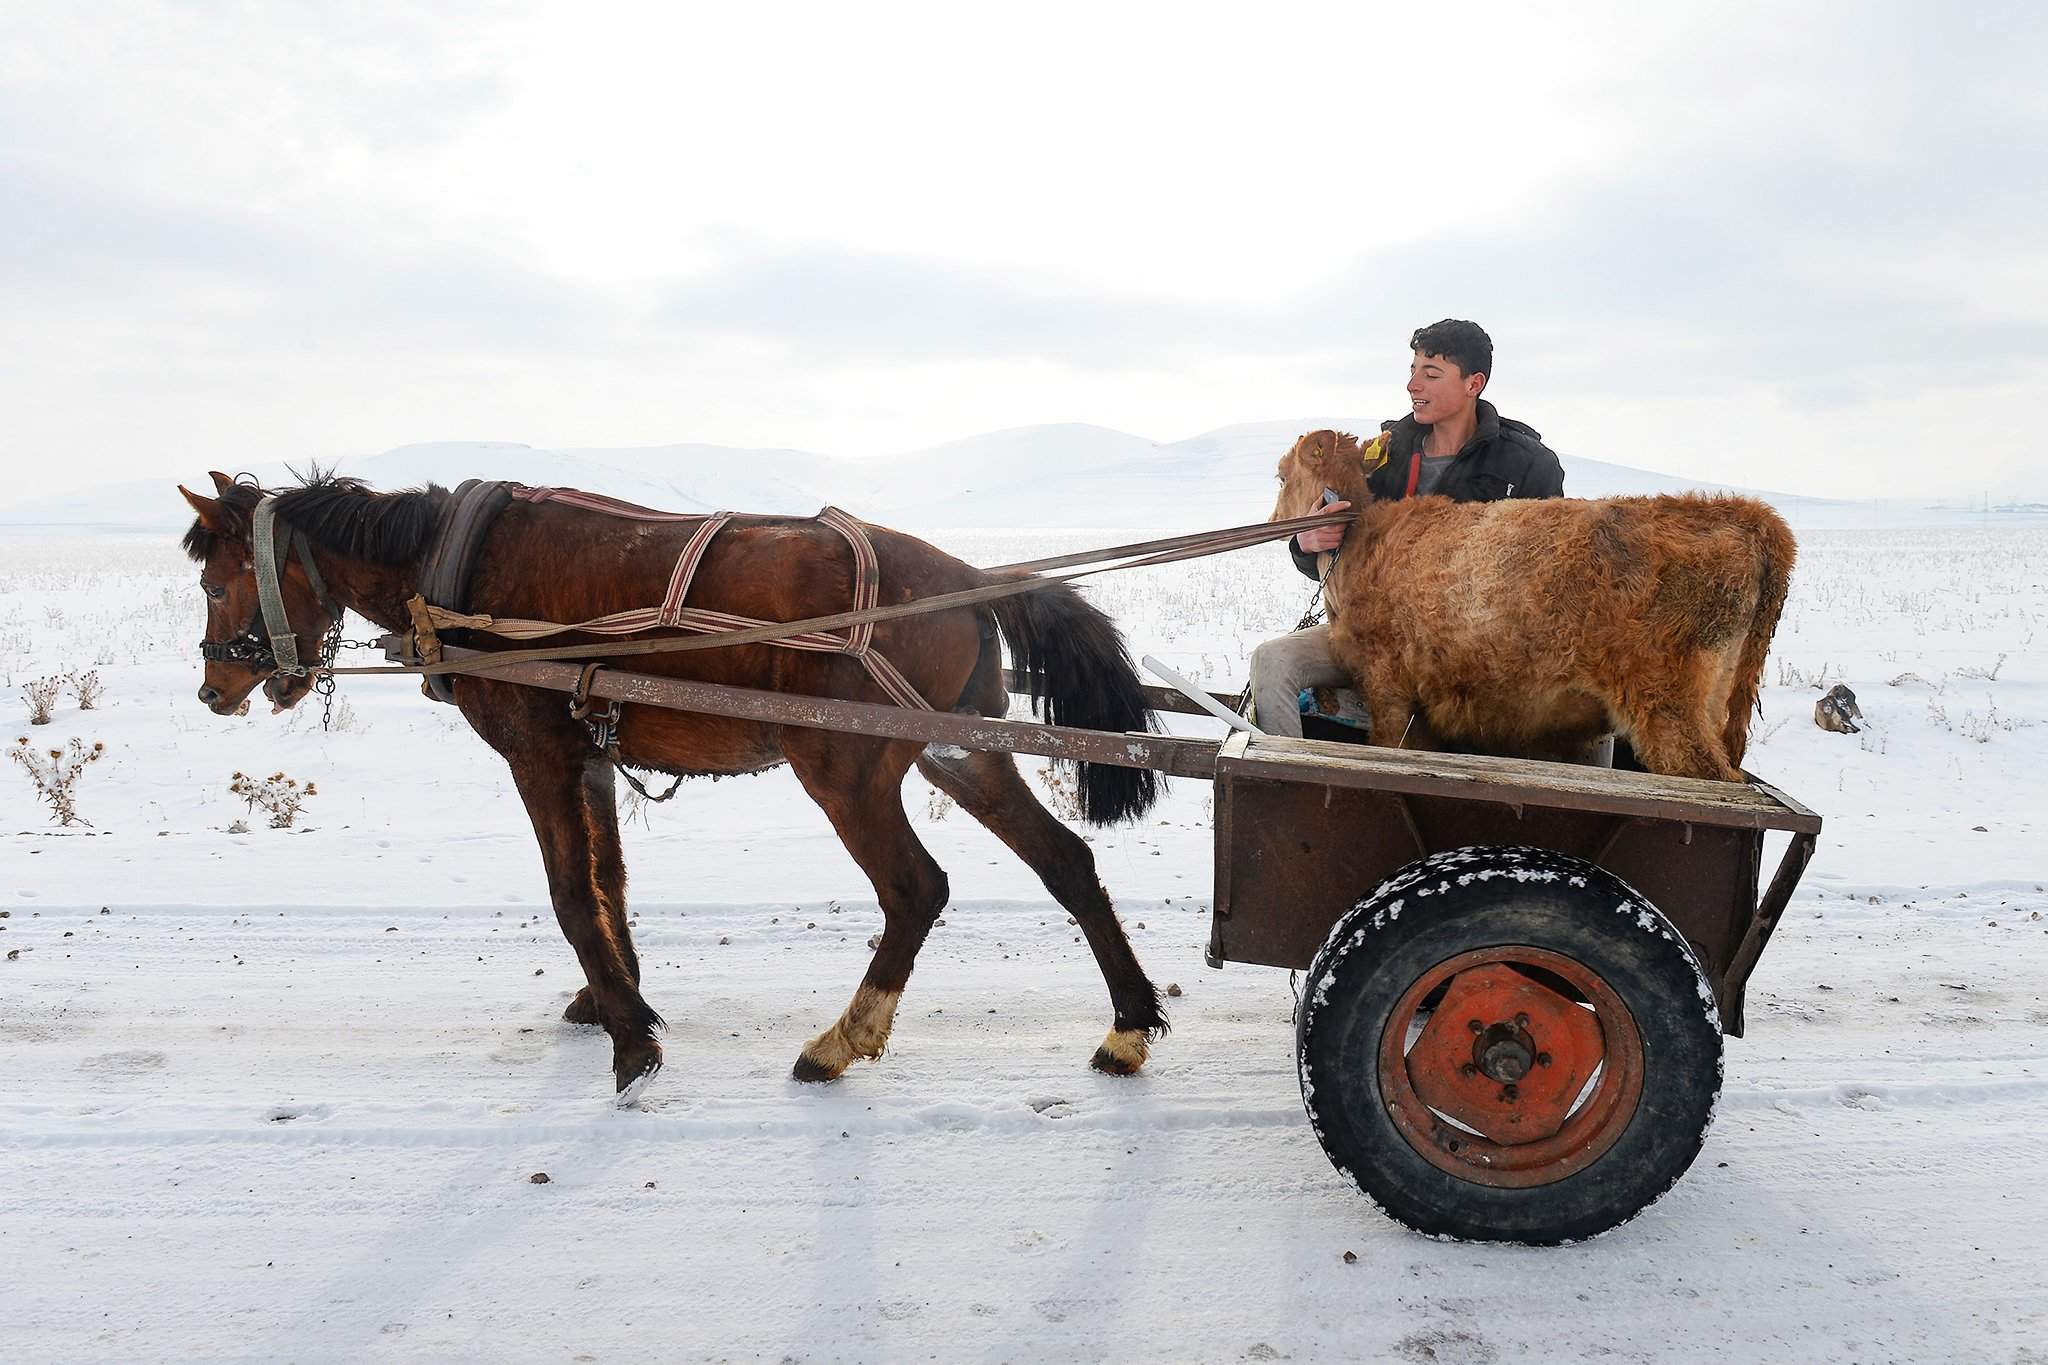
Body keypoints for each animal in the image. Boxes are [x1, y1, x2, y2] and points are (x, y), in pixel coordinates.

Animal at [180, 474, 1171, 1096]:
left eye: (218, 582)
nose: (213, 688)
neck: (452, 568)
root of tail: (967, 576)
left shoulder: (535, 754)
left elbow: (569, 894)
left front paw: (631, 1044)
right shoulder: (585, 752)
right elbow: (608, 882)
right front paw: (612, 999)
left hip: (844, 767)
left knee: (915, 888)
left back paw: (839, 1042)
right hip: (960, 751)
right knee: (1066, 861)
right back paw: (1126, 1026)